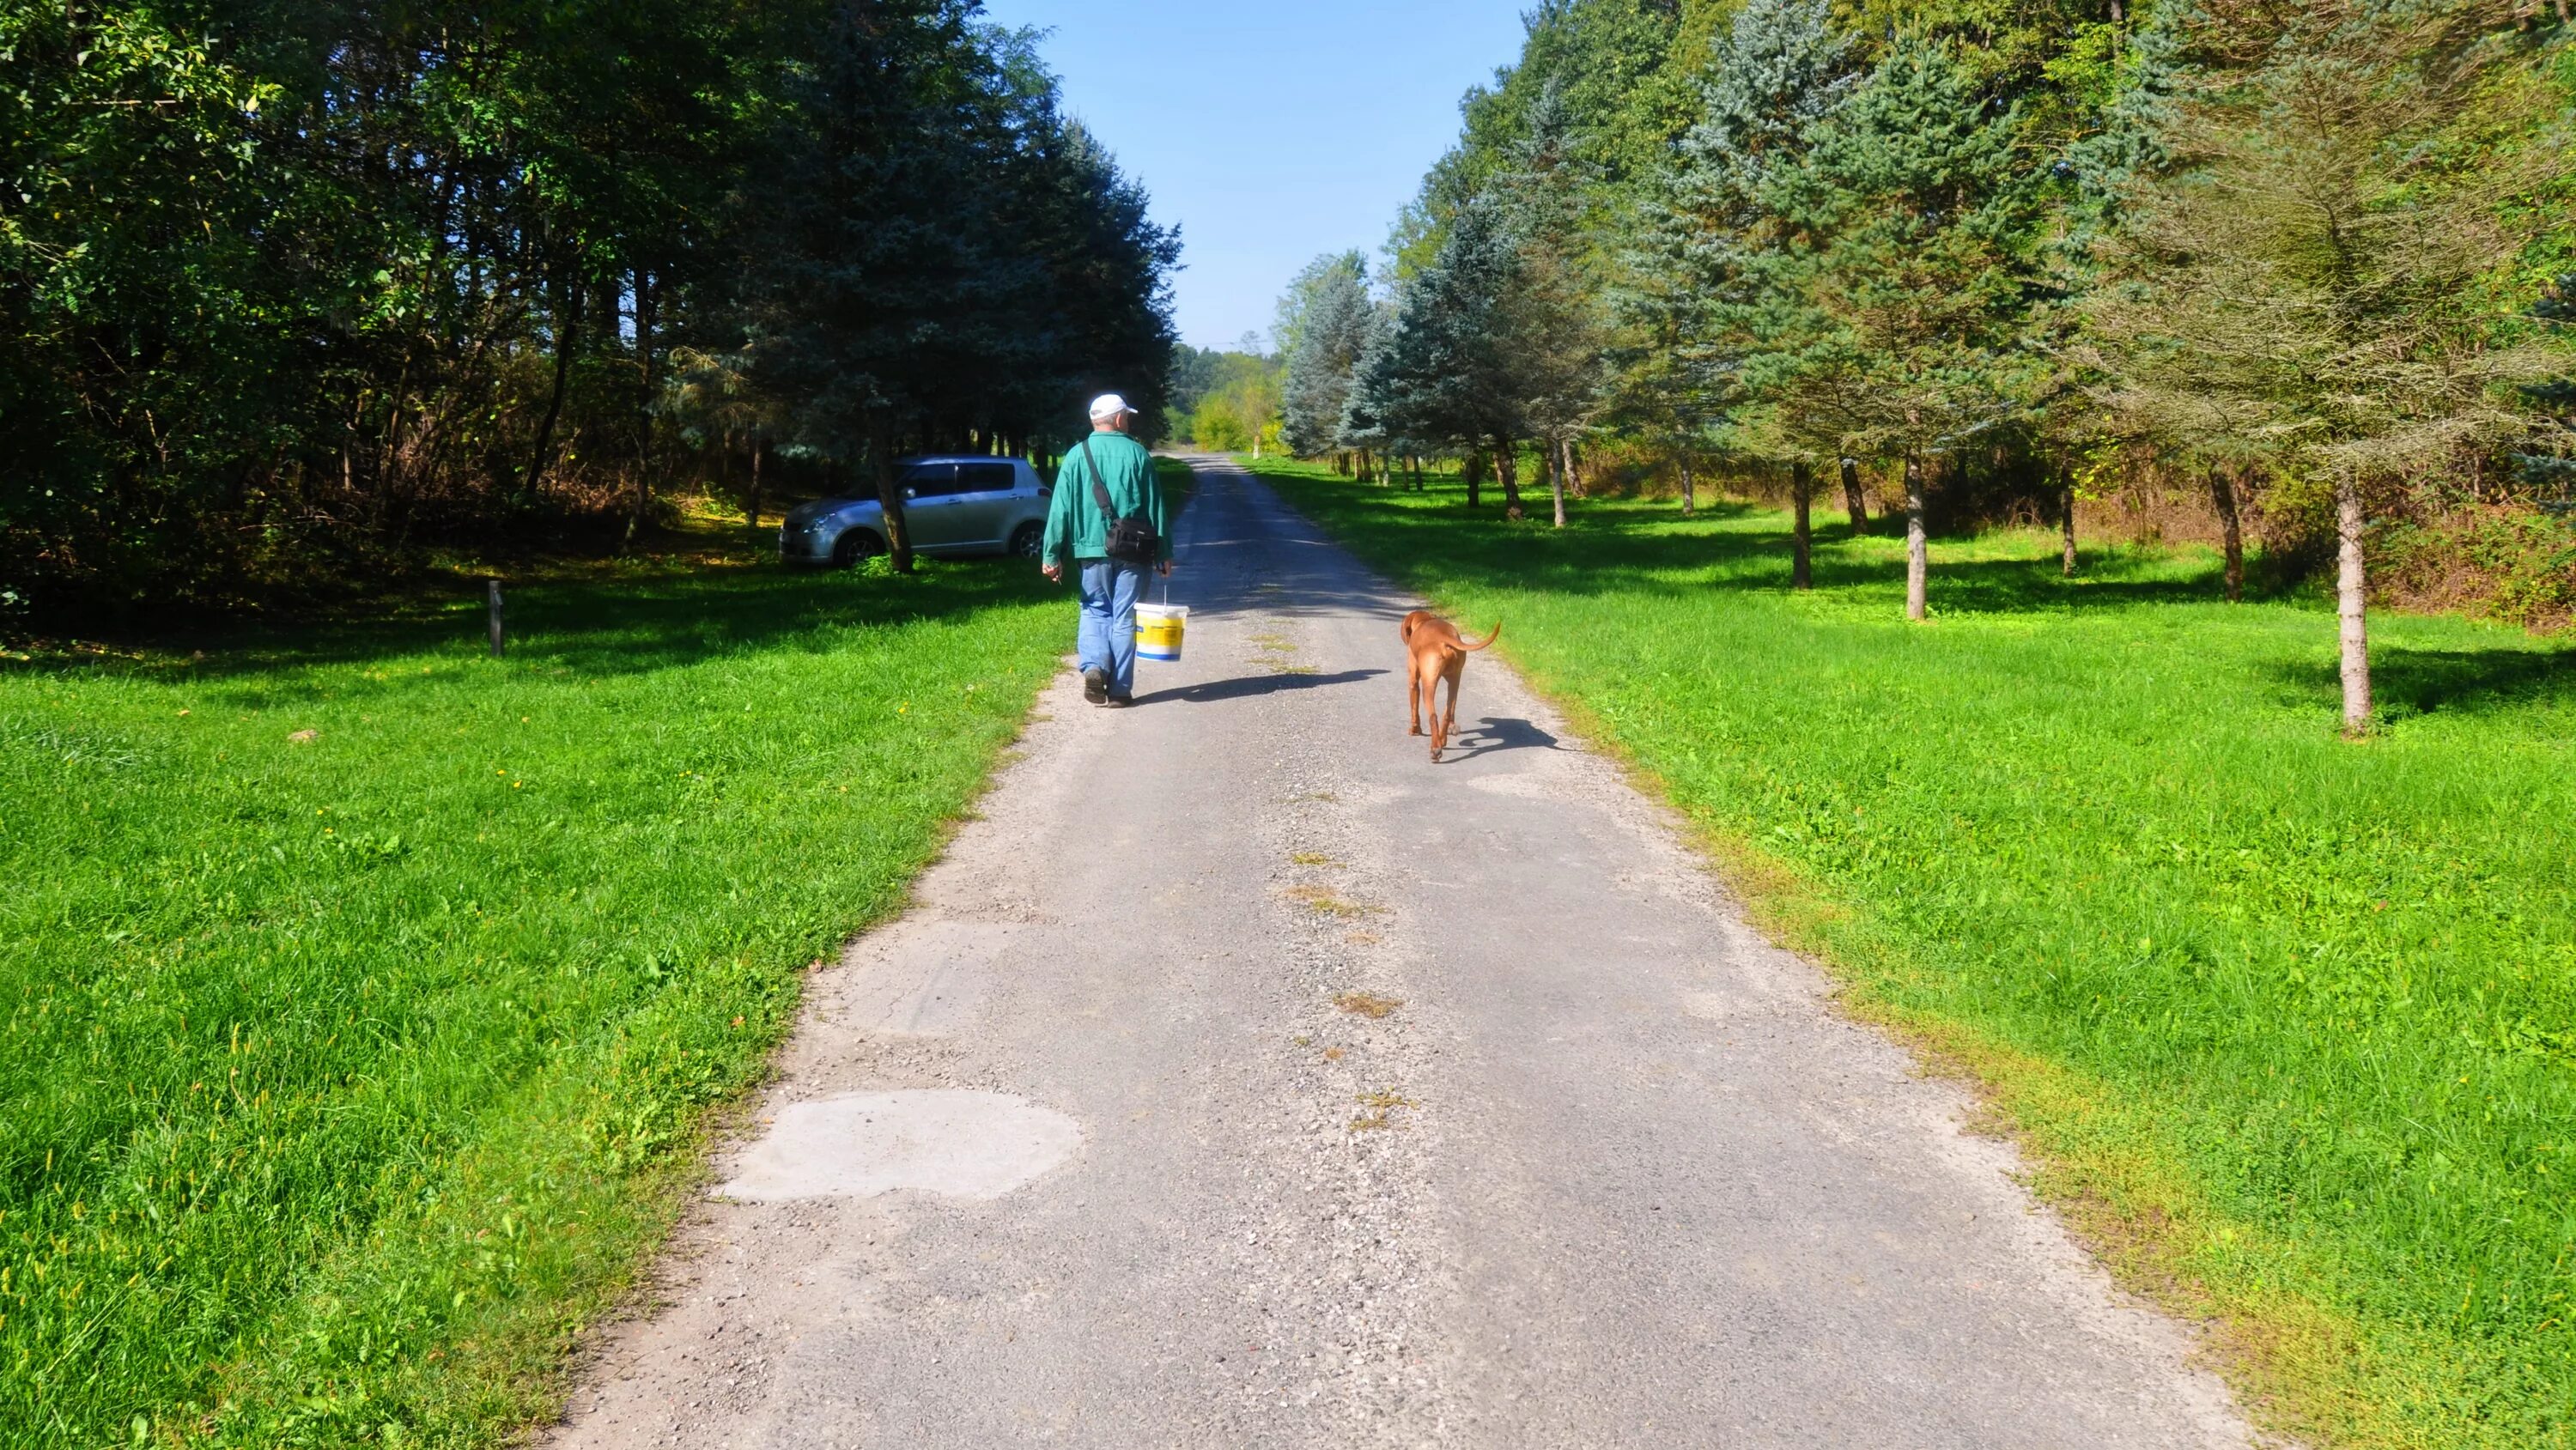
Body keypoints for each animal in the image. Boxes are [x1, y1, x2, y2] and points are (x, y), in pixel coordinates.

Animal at [1401, 605, 1504, 762]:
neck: (1425, 621)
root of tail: (1444, 637)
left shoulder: (1413, 680)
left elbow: (1414, 710)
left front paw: (1415, 730)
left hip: (1428, 686)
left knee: (1433, 716)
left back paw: (1435, 749)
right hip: (1455, 680)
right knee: (1447, 712)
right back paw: (1442, 740)